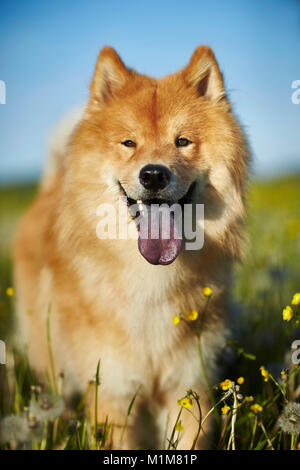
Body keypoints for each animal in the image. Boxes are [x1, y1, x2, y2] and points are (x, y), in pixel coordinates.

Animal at [13, 46, 248, 450]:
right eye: (129, 143)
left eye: (182, 141)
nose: (153, 174)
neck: (151, 280)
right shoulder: (113, 389)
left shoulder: (186, 384)